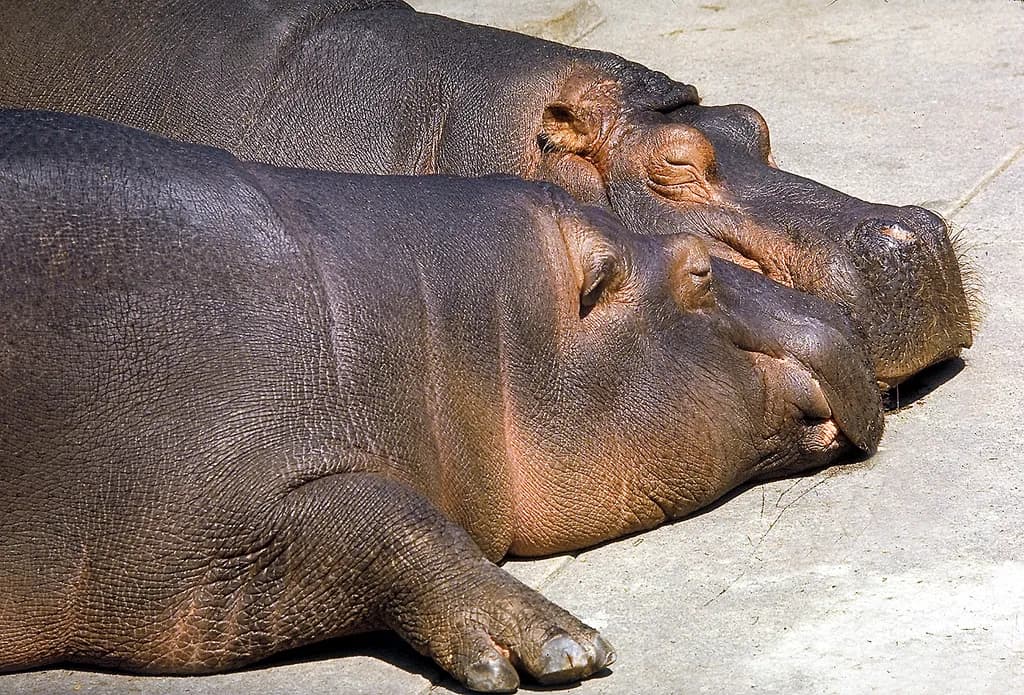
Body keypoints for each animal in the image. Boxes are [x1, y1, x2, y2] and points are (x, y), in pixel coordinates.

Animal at [0, 110, 883, 692]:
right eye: (700, 268)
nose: (849, 318)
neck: (439, 318)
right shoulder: (199, 532)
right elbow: (395, 519)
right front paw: (562, 644)